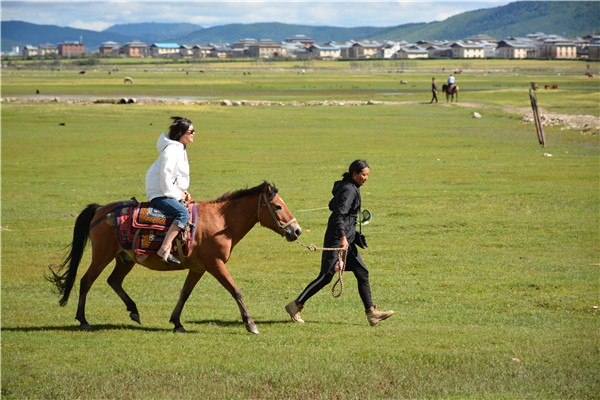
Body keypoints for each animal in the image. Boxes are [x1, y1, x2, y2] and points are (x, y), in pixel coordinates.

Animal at [46, 182, 302, 334]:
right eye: (278, 207)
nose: (297, 231)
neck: (220, 222)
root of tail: (100, 210)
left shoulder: (198, 268)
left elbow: (184, 293)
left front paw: (177, 322)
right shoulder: (215, 264)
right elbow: (235, 290)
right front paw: (250, 324)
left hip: (124, 259)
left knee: (113, 281)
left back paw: (134, 310)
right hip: (102, 255)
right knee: (86, 281)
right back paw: (83, 320)